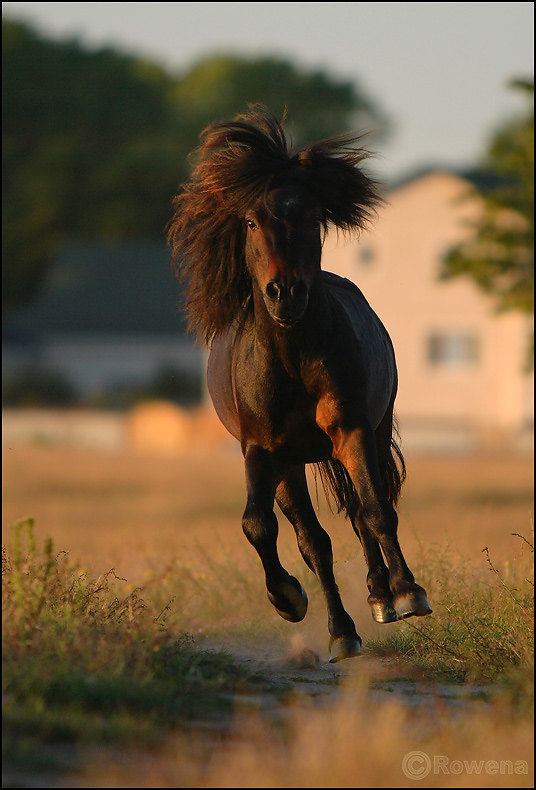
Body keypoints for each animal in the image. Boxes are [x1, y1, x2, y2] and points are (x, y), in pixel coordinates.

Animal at [168, 105, 432, 664]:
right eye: (250, 221)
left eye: (311, 218)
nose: (285, 292)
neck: (291, 363)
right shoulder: (261, 450)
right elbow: (260, 526)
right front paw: (289, 600)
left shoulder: (353, 430)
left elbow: (376, 510)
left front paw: (407, 593)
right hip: (291, 464)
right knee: (314, 538)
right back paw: (343, 630)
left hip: (366, 436)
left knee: (362, 511)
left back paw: (382, 599)